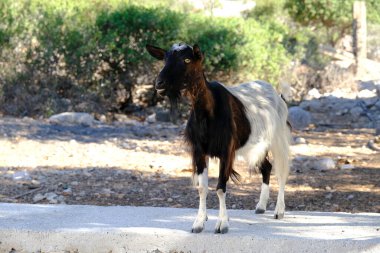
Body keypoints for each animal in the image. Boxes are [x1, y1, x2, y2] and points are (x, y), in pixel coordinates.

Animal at [145, 43, 290, 233]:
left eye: (187, 59)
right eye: (165, 59)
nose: (159, 83)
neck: (208, 111)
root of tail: (277, 94)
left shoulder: (226, 150)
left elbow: (221, 187)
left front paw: (222, 224)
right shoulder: (199, 150)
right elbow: (202, 188)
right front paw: (199, 223)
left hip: (277, 138)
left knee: (281, 170)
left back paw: (279, 211)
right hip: (254, 145)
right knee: (267, 167)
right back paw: (260, 206)